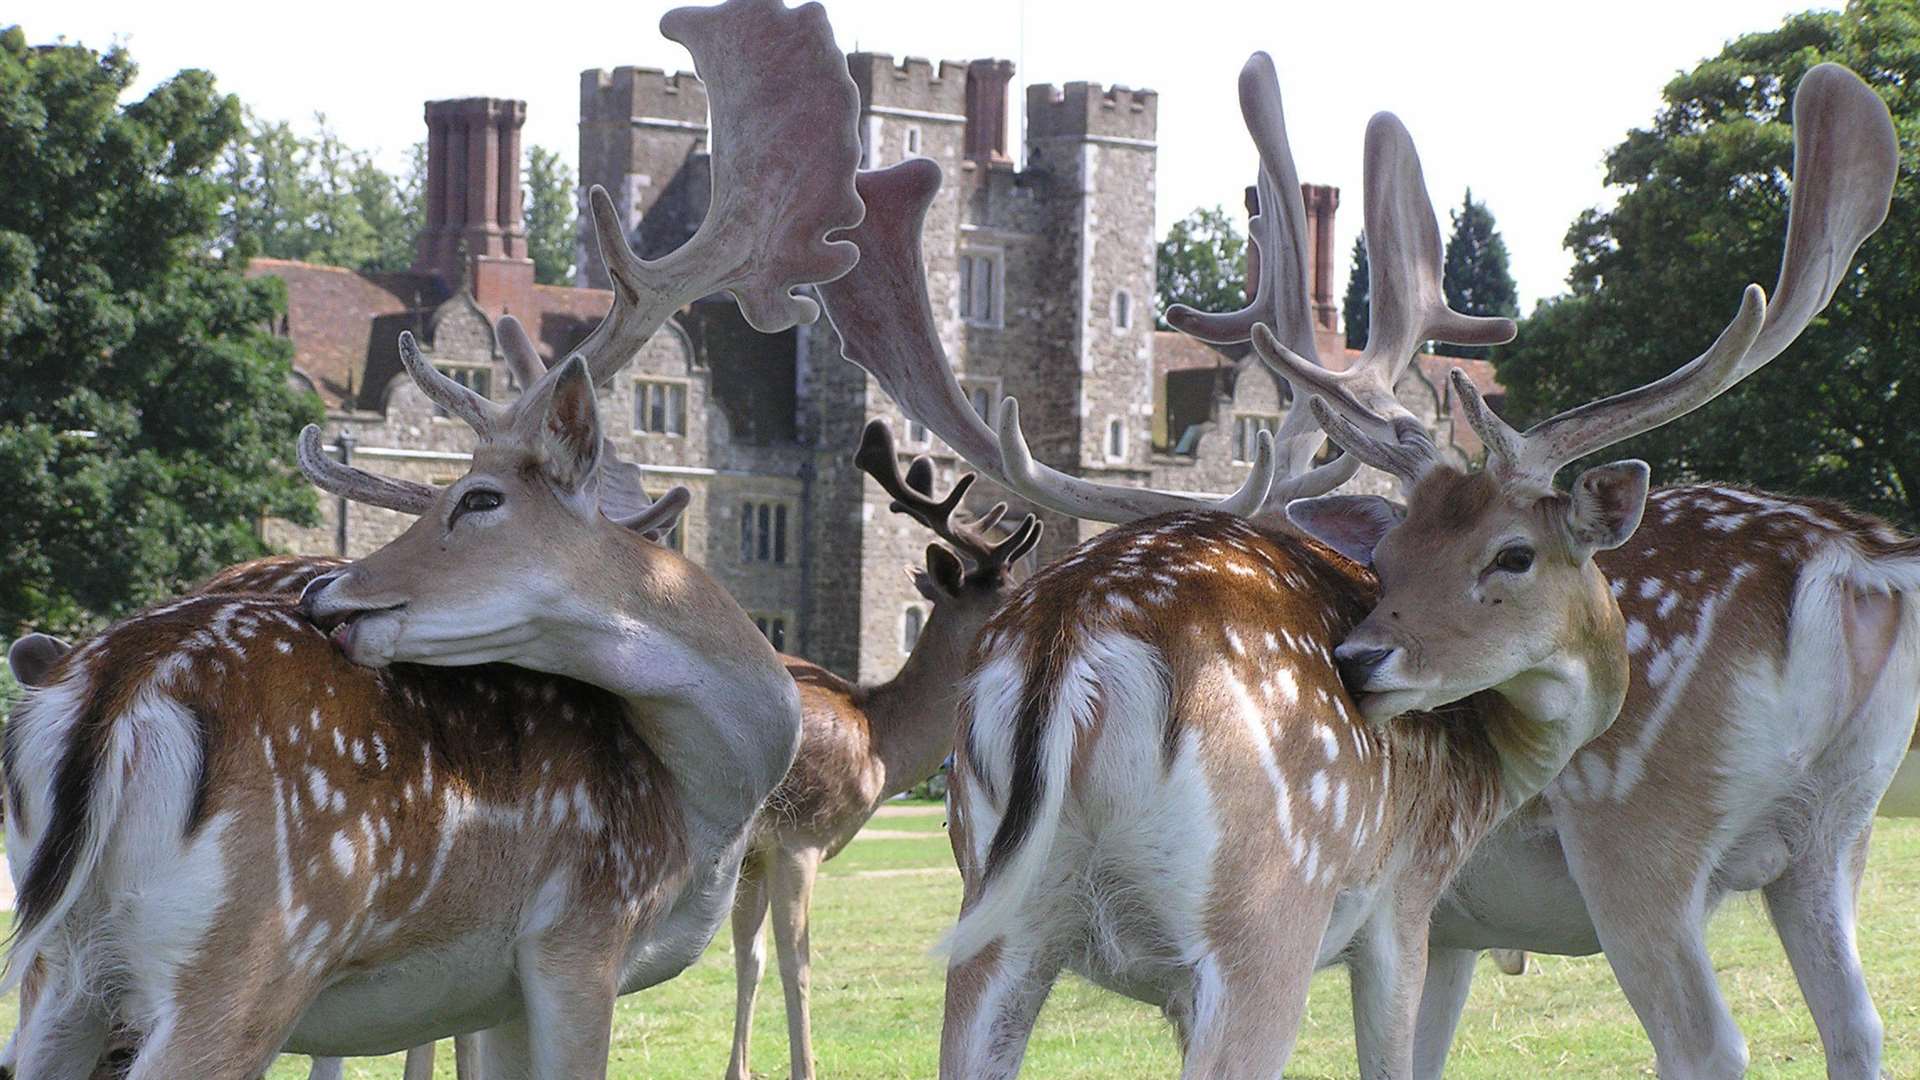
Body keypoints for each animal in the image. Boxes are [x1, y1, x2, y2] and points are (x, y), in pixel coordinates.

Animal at [0, 2, 864, 1068]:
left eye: (480, 499)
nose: (326, 595)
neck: (703, 807)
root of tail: (111, 692)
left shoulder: (489, 993)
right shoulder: (580, 936)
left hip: (62, 975)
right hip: (240, 962)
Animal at [725, 417, 1044, 1076]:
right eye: (1013, 593)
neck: (878, 743)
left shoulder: (755, 853)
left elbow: (751, 959)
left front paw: (736, 1070)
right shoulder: (800, 834)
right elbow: (798, 962)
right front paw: (805, 1068)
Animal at [817, 52, 1896, 1076]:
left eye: (1508, 552)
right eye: (1399, 549)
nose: (1362, 660)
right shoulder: (1411, 907)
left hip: (994, 922)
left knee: (1858, 1026)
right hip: (1342, 903)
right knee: (1712, 1042)